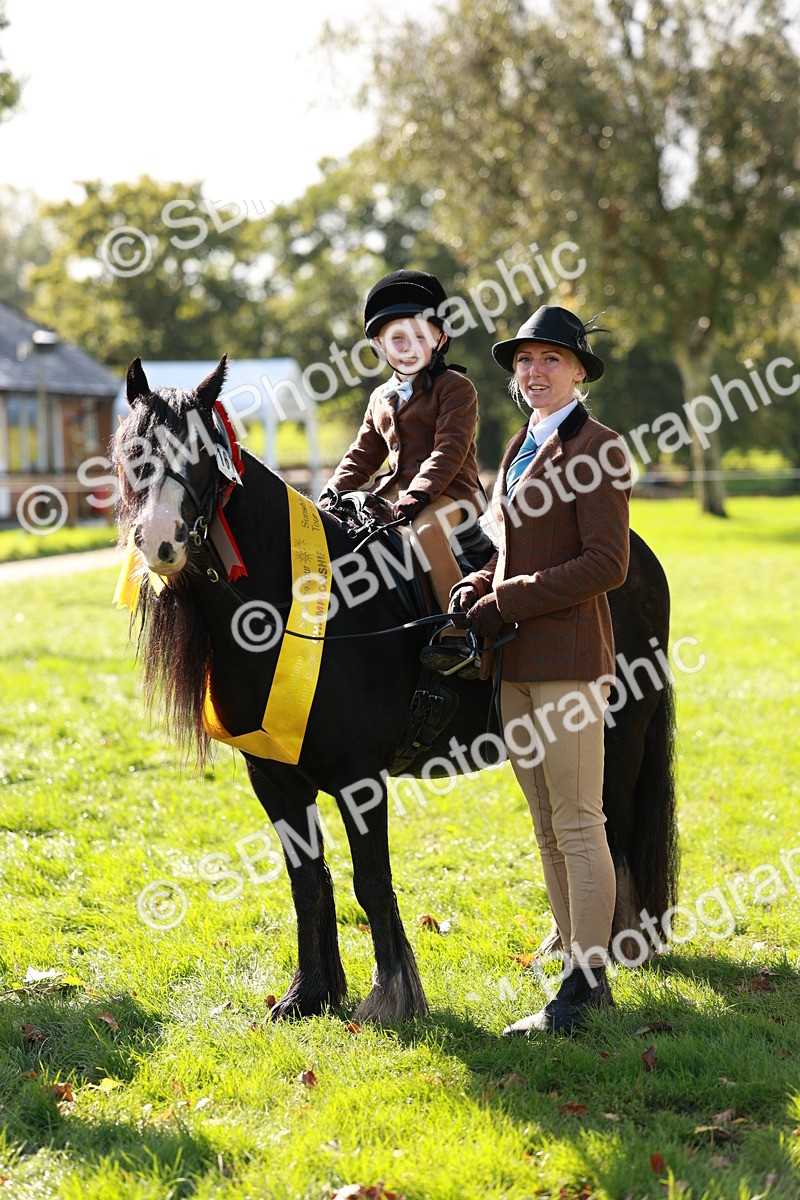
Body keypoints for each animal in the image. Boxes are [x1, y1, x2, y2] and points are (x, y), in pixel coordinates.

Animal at [113, 356, 678, 1023]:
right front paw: (310, 994)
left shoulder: (360, 779)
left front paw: (391, 999)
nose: (160, 541)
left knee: (609, 833)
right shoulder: (273, 778)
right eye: (131, 452)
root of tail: (637, 557)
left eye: (203, 453)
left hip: (620, 735)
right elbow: (308, 881)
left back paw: (607, 955)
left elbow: (371, 883)